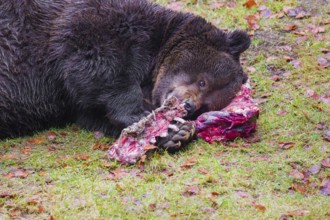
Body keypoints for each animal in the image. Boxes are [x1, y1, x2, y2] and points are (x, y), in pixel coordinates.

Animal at [0, 1, 249, 148]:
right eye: (203, 81)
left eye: (206, 106)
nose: (188, 106)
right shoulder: (94, 25)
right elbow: (103, 68)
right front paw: (145, 116)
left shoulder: (73, 102)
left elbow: (95, 114)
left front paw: (176, 131)